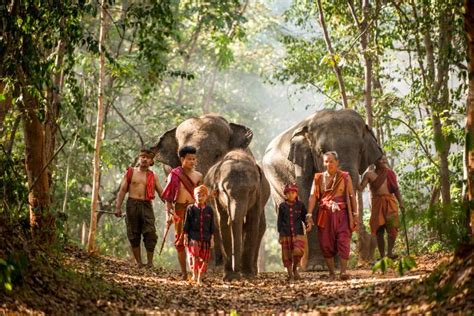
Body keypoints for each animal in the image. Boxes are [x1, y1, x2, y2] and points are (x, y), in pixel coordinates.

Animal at [205, 149, 270, 280]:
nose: (236, 270)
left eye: (251, 191)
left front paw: (247, 275)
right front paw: (230, 277)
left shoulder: (258, 195)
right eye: (224, 191)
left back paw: (253, 270)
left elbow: (252, 223)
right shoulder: (216, 196)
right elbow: (223, 223)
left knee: (259, 227)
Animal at [262, 108, 384, 270]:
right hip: (273, 179)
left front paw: (336, 265)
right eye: (321, 151)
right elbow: (309, 200)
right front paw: (317, 267)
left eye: (360, 151)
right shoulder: (301, 163)